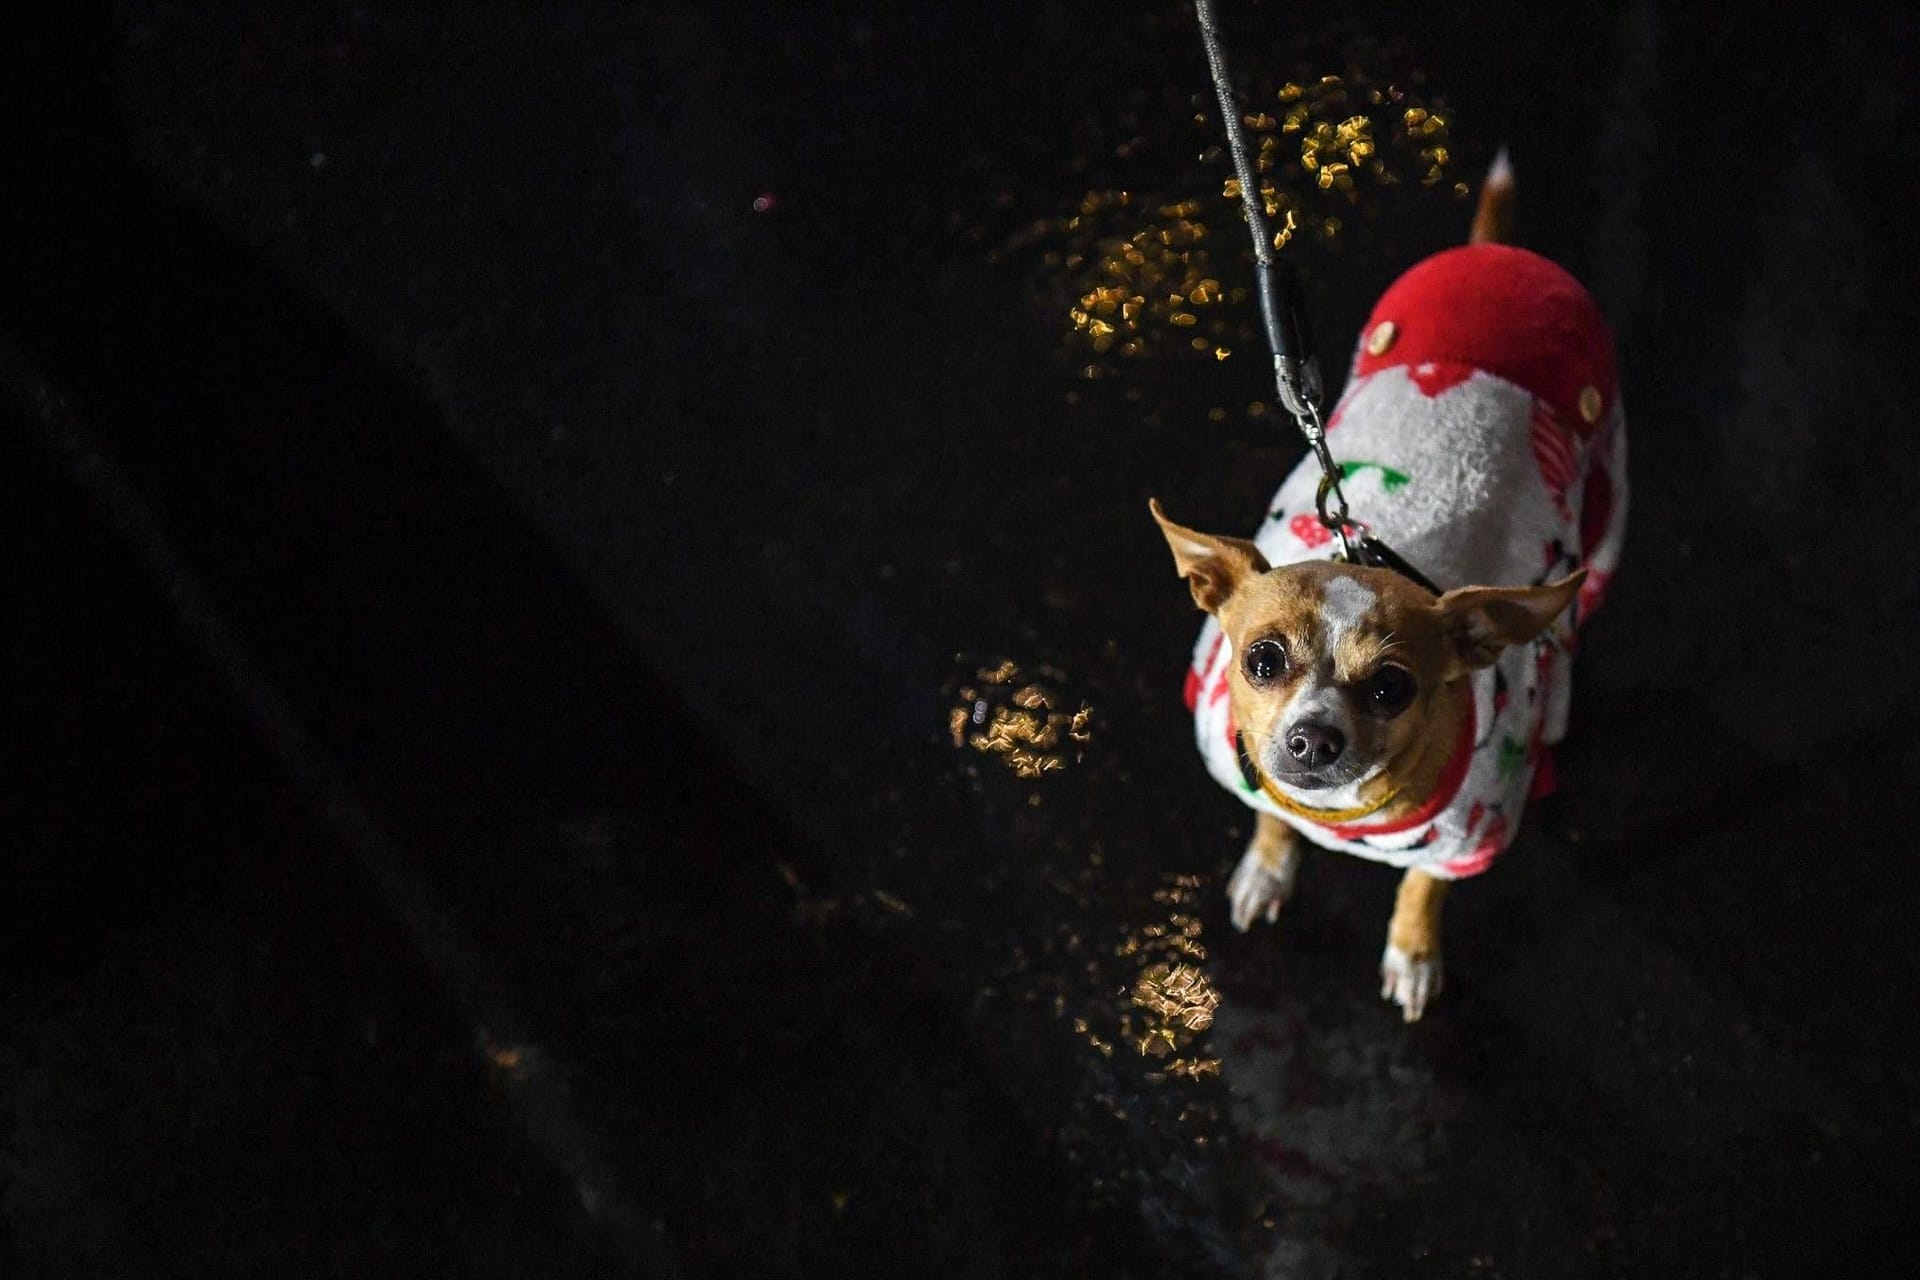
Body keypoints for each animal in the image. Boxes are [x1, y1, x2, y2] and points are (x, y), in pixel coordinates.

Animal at [1152, 157, 1635, 1020]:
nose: (1312, 739)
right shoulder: (1266, 788)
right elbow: (1270, 822)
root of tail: (1495, 254)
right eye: (1262, 660)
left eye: (1392, 688)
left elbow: (1421, 888)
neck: (1338, 813)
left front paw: (1413, 953)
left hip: (1609, 492)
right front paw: (1269, 866)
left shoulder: (1461, 846)